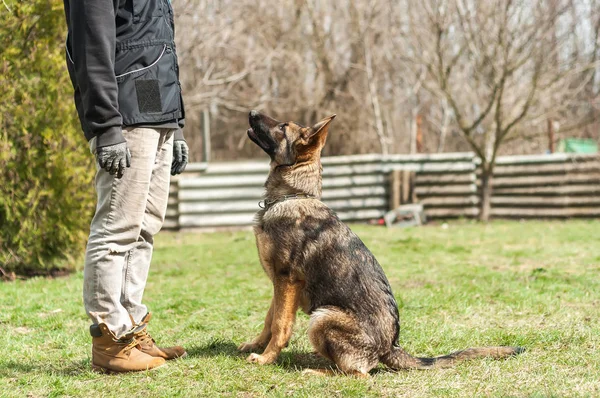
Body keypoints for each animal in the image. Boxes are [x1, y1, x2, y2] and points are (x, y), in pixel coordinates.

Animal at [238, 110, 520, 378]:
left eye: (283, 126)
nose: (252, 111)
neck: (293, 195)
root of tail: (391, 347)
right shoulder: (279, 283)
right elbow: (269, 319)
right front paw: (256, 346)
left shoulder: (287, 280)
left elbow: (280, 325)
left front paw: (266, 358)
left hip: (322, 318)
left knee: (358, 373)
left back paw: (316, 372)